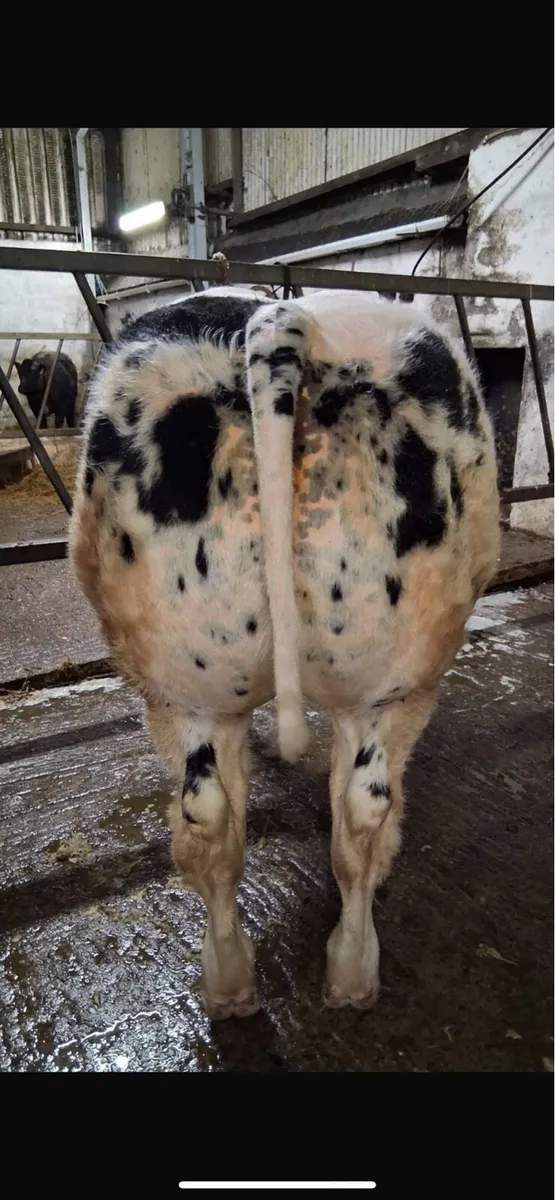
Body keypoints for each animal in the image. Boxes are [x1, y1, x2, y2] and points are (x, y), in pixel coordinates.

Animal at [69, 286, 500, 1019]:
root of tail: (279, 322)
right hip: (387, 680)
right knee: (356, 809)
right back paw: (340, 976)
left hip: (190, 685)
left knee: (217, 817)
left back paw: (242, 983)